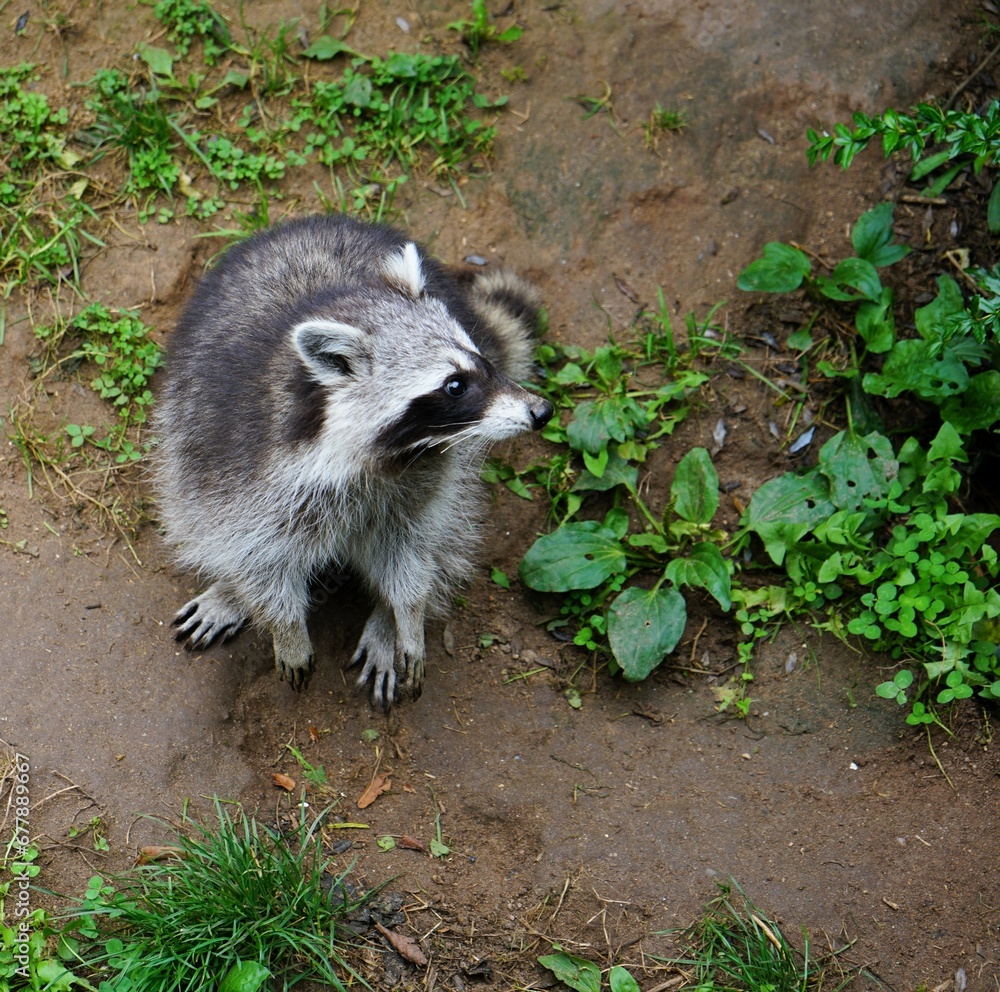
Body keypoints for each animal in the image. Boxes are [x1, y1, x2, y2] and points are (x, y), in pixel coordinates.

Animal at [154, 214, 553, 710]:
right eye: (455, 385)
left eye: (482, 360)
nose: (542, 411)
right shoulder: (239, 461)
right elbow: (253, 551)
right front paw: (282, 624)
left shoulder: (428, 472)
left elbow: (410, 546)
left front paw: (404, 613)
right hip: (185, 424)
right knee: (199, 517)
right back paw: (233, 591)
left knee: (450, 528)